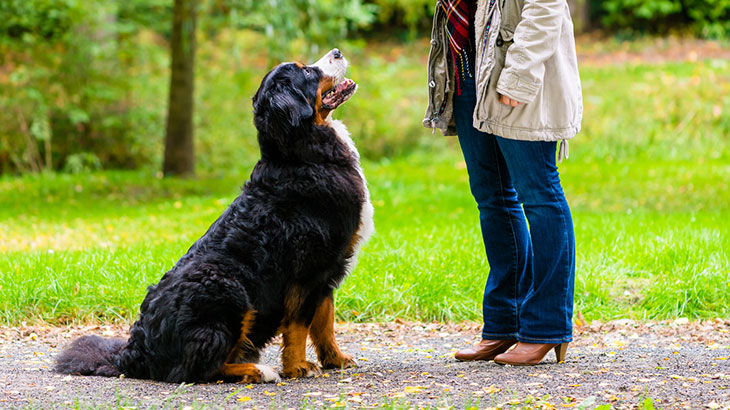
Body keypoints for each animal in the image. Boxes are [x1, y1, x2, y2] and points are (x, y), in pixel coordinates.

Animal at [56, 48, 372, 384]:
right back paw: (259, 370)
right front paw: (298, 366)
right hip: (227, 287)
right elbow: (299, 325)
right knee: (198, 368)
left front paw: (335, 359)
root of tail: (134, 352)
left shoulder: (328, 270)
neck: (302, 156)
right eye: (307, 72)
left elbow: (324, 322)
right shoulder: (309, 270)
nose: (337, 51)